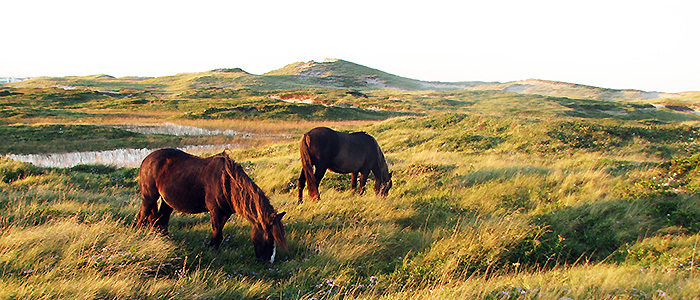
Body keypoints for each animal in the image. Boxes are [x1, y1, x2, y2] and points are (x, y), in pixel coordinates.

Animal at [135, 149, 286, 264]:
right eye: (269, 237)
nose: (269, 262)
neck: (227, 183)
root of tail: (147, 159)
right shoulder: (215, 211)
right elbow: (216, 233)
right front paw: (214, 253)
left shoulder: (225, 213)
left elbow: (219, 234)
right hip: (149, 196)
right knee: (142, 217)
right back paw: (139, 237)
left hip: (167, 201)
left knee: (161, 220)